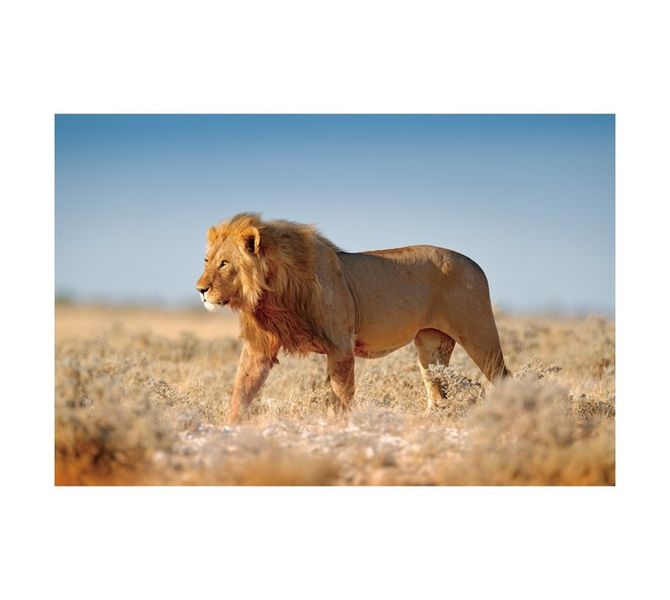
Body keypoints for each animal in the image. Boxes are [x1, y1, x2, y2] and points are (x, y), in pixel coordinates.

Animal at [196, 213, 510, 423]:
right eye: (207, 261)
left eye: (224, 263)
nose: (200, 289)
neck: (271, 293)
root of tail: (476, 265)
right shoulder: (259, 346)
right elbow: (242, 388)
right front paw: (229, 428)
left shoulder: (340, 345)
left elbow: (340, 393)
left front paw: (339, 425)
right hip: (431, 345)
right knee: (437, 388)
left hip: (478, 333)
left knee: (502, 376)